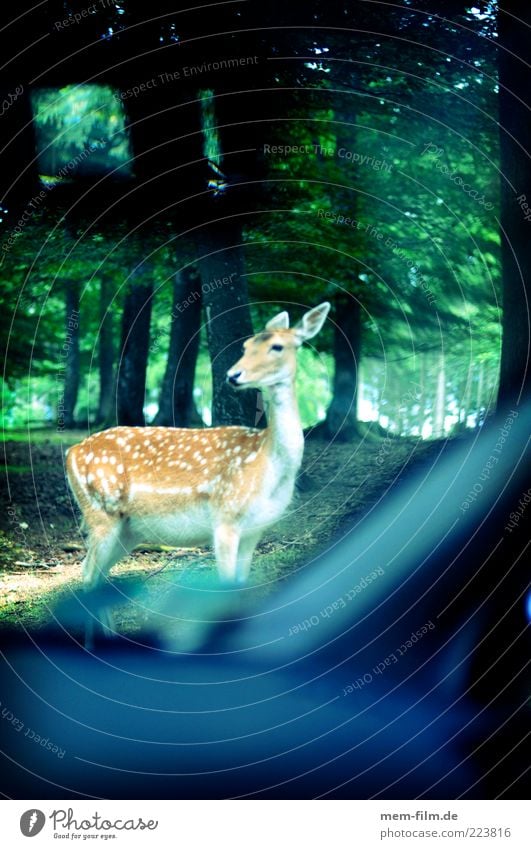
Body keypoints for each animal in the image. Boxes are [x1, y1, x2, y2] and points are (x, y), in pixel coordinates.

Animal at [66, 302, 330, 588]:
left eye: (277, 346)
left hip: (129, 529)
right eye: (246, 346)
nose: (233, 375)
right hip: (101, 510)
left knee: (93, 572)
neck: (267, 464)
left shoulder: (254, 529)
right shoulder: (225, 516)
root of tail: (71, 452)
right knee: (88, 573)